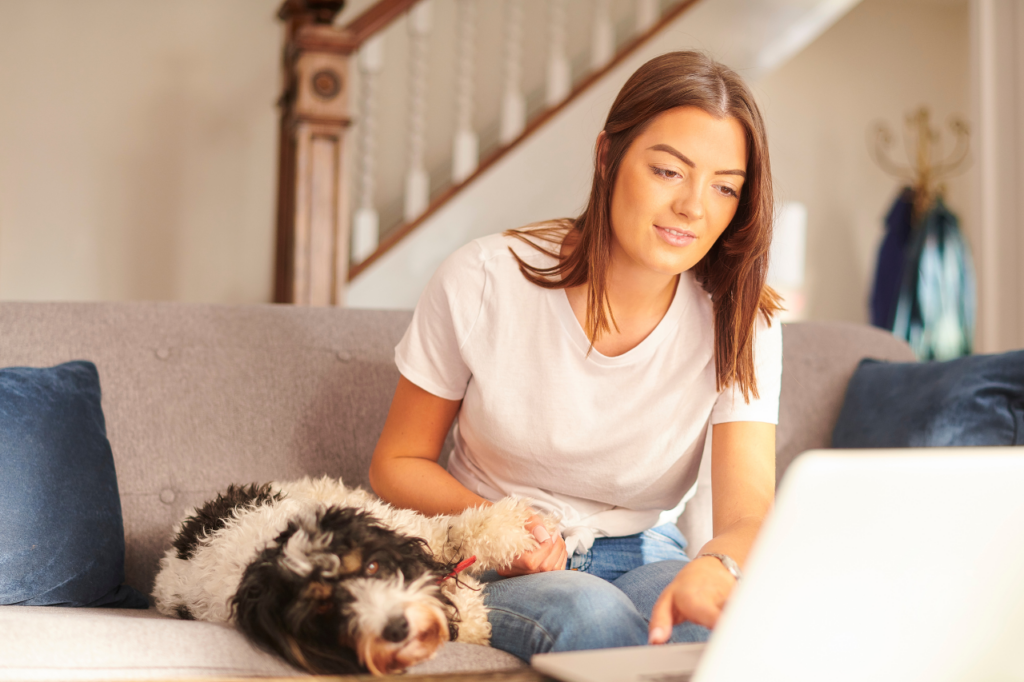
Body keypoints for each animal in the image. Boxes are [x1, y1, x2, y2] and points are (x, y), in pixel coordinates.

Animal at [149, 475, 552, 671]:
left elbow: (452, 533)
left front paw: (518, 528)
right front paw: (466, 617)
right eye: (323, 608)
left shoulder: (400, 528)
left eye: (372, 566)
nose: (398, 627)